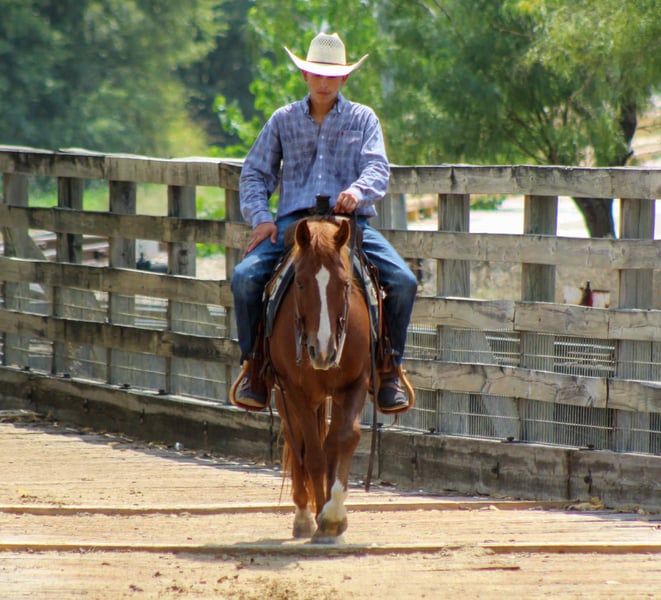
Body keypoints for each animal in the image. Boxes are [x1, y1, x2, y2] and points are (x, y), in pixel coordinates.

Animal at [267, 215, 371, 543]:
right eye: (300, 283)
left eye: (345, 283)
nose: (323, 350)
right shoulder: (293, 389)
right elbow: (311, 453)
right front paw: (319, 518)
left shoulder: (356, 382)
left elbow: (344, 439)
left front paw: (333, 516)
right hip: (283, 396)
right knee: (296, 440)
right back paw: (303, 515)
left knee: (329, 442)